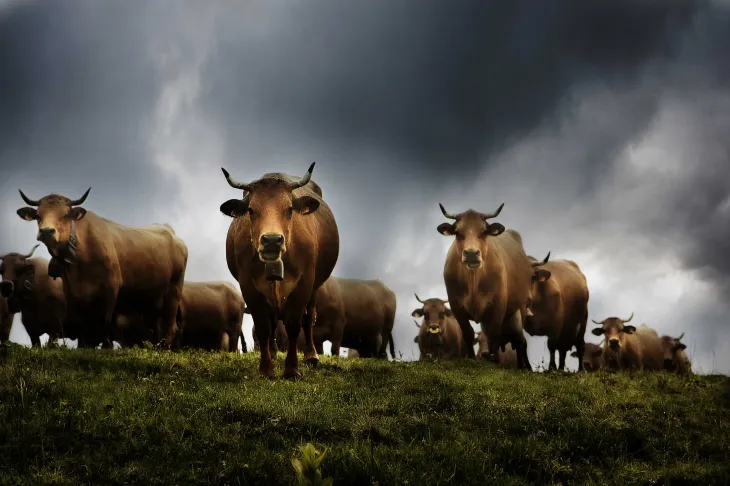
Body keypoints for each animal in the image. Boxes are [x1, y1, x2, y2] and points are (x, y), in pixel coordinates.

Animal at [16, 188, 189, 349]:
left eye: (65, 215)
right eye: (38, 215)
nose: (46, 231)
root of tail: (171, 233)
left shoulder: (111, 289)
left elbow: (106, 324)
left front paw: (106, 347)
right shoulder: (72, 295)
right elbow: (83, 328)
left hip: (173, 293)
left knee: (169, 327)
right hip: (151, 300)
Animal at [219, 163, 340, 379]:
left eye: (290, 209)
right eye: (251, 210)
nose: (272, 240)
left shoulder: (305, 282)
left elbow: (294, 324)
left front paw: (292, 369)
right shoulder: (247, 285)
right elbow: (263, 327)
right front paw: (266, 368)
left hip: (315, 286)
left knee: (309, 318)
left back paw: (311, 355)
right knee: (273, 322)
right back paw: (274, 353)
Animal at [437, 202, 540, 369]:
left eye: (484, 232)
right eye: (458, 232)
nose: (471, 253)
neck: (473, 279)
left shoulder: (497, 304)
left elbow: (494, 335)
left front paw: (495, 362)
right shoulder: (455, 304)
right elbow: (468, 333)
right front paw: (472, 358)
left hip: (521, 307)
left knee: (519, 341)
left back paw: (521, 366)